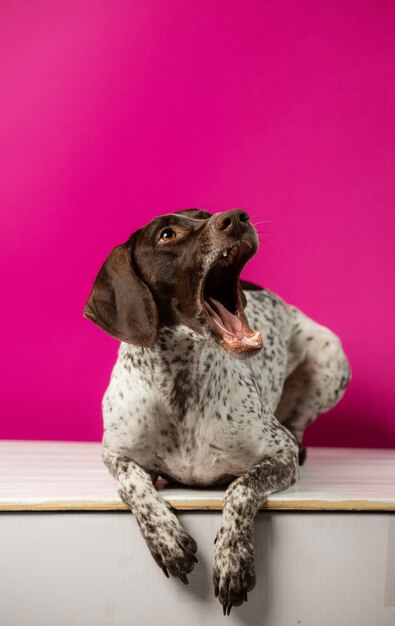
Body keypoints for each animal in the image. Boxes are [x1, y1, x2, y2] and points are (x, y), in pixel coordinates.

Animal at [85, 207, 352, 612]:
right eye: (167, 234)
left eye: (204, 215)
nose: (237, 217)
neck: (180, 378)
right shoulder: (115, 454)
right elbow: (133, 483)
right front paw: (166, 537)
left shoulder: (280, 453)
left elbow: (241, 488)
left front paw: (233, 558)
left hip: (329, 355)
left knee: (298, 424)